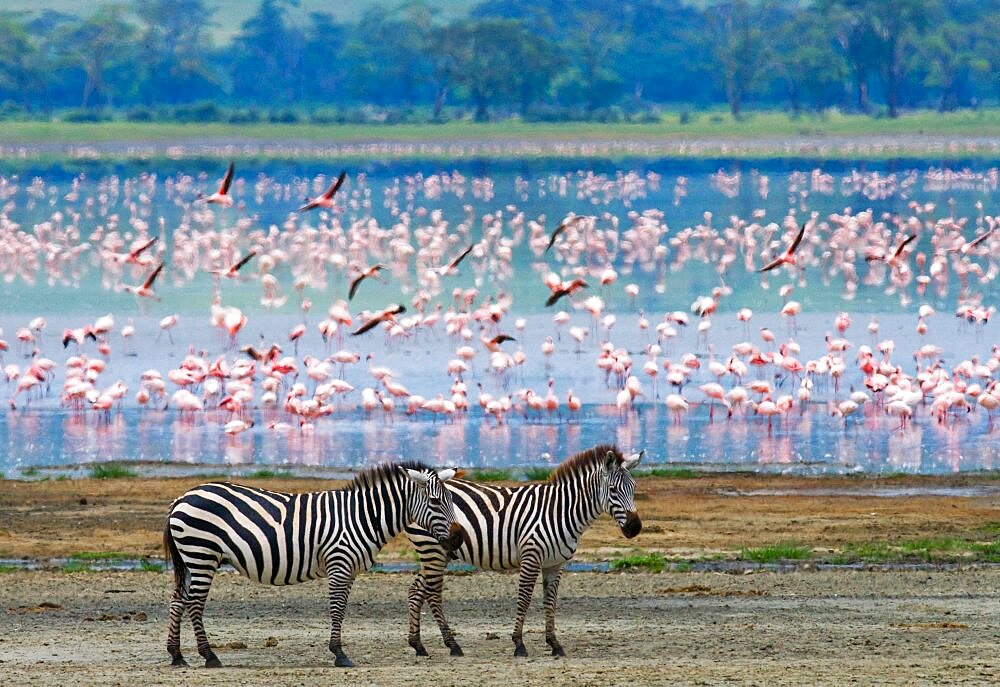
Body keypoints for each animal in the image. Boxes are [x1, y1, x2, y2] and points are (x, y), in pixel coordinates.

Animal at [163, 462, 464, 668]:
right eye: (436, 501)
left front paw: (337, 651)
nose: (458, 538)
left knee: (178, 601)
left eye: (452, 500)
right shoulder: (339, 564)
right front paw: (339, 654)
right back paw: (209, 656)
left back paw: (177, 656)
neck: (363, 516)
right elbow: (337, 609)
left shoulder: (349, 570)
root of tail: (182, 497)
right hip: (202, 554)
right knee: (193, 604)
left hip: (191, 559)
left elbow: (341, 609)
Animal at [404, 446, 644, 660]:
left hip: (439, 552)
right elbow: (524, 599)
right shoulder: (531, 557)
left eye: (633, 487)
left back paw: (418, 645)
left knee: (416, 590)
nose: (635, 528)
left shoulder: (555, 564)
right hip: (432, 549)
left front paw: (554, 644)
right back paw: (452, 645)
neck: (561, 511)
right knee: (432, 594)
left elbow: (550, 601)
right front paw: (519, 644)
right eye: (613, 490)